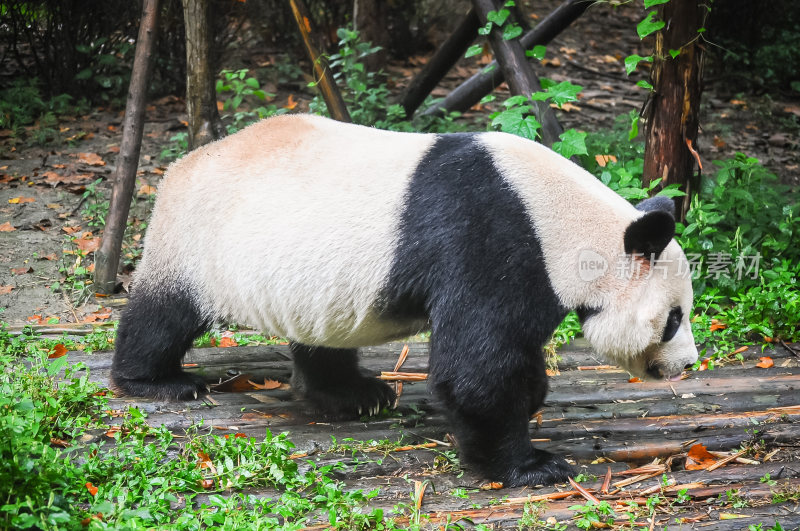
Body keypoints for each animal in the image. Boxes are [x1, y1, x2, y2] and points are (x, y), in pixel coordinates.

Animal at [111, 114, 692, 488]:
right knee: (163, 314)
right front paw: (531, 466)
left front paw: (530, 401)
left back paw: (356, 397)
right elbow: (476, 366)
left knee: (322, 339)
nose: (686, 364)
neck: (561, 223)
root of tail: (181, 164)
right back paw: (156, 381)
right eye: (673, 318)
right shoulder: (490, 239)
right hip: (198, 239)